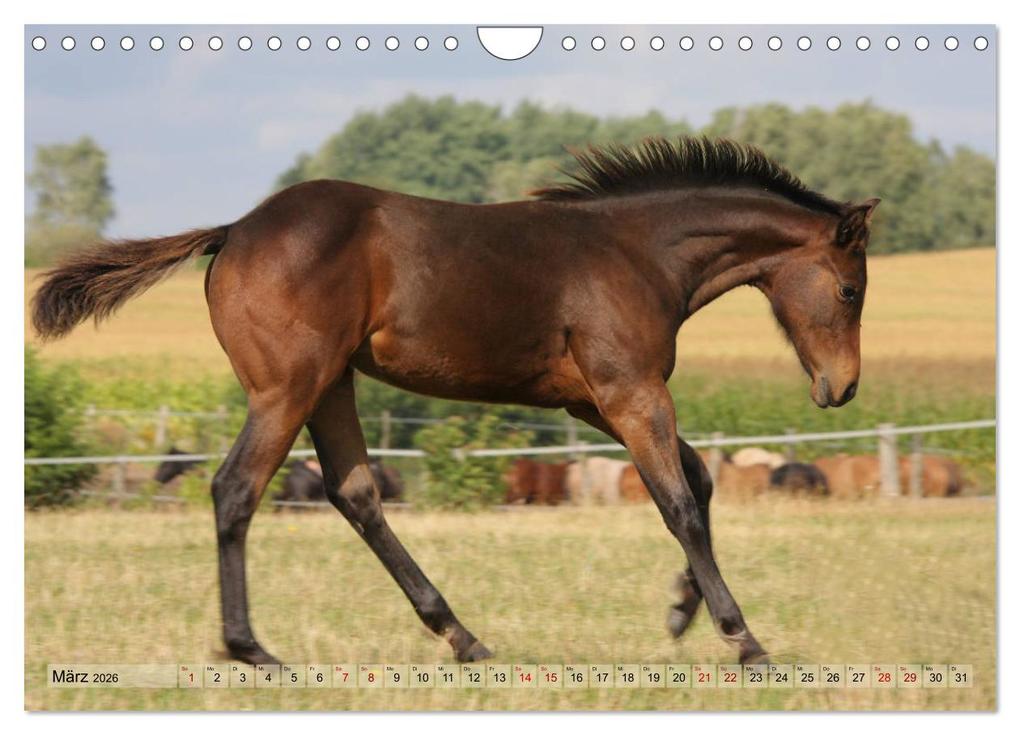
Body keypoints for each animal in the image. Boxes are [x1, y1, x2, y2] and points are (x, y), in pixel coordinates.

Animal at [31, 136, 878, 665]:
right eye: (850, 289)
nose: (840, 388)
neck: (635, 252)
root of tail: (234, 229)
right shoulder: (630, 390)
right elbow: (678, 501)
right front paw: (744, 638)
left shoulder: (592, 400)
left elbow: (698, 482)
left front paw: (680, 607)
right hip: (288, 386)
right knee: (237, 487)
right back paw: (252, 647)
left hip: (331, 384)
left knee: (355, 493)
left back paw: (461, 635)